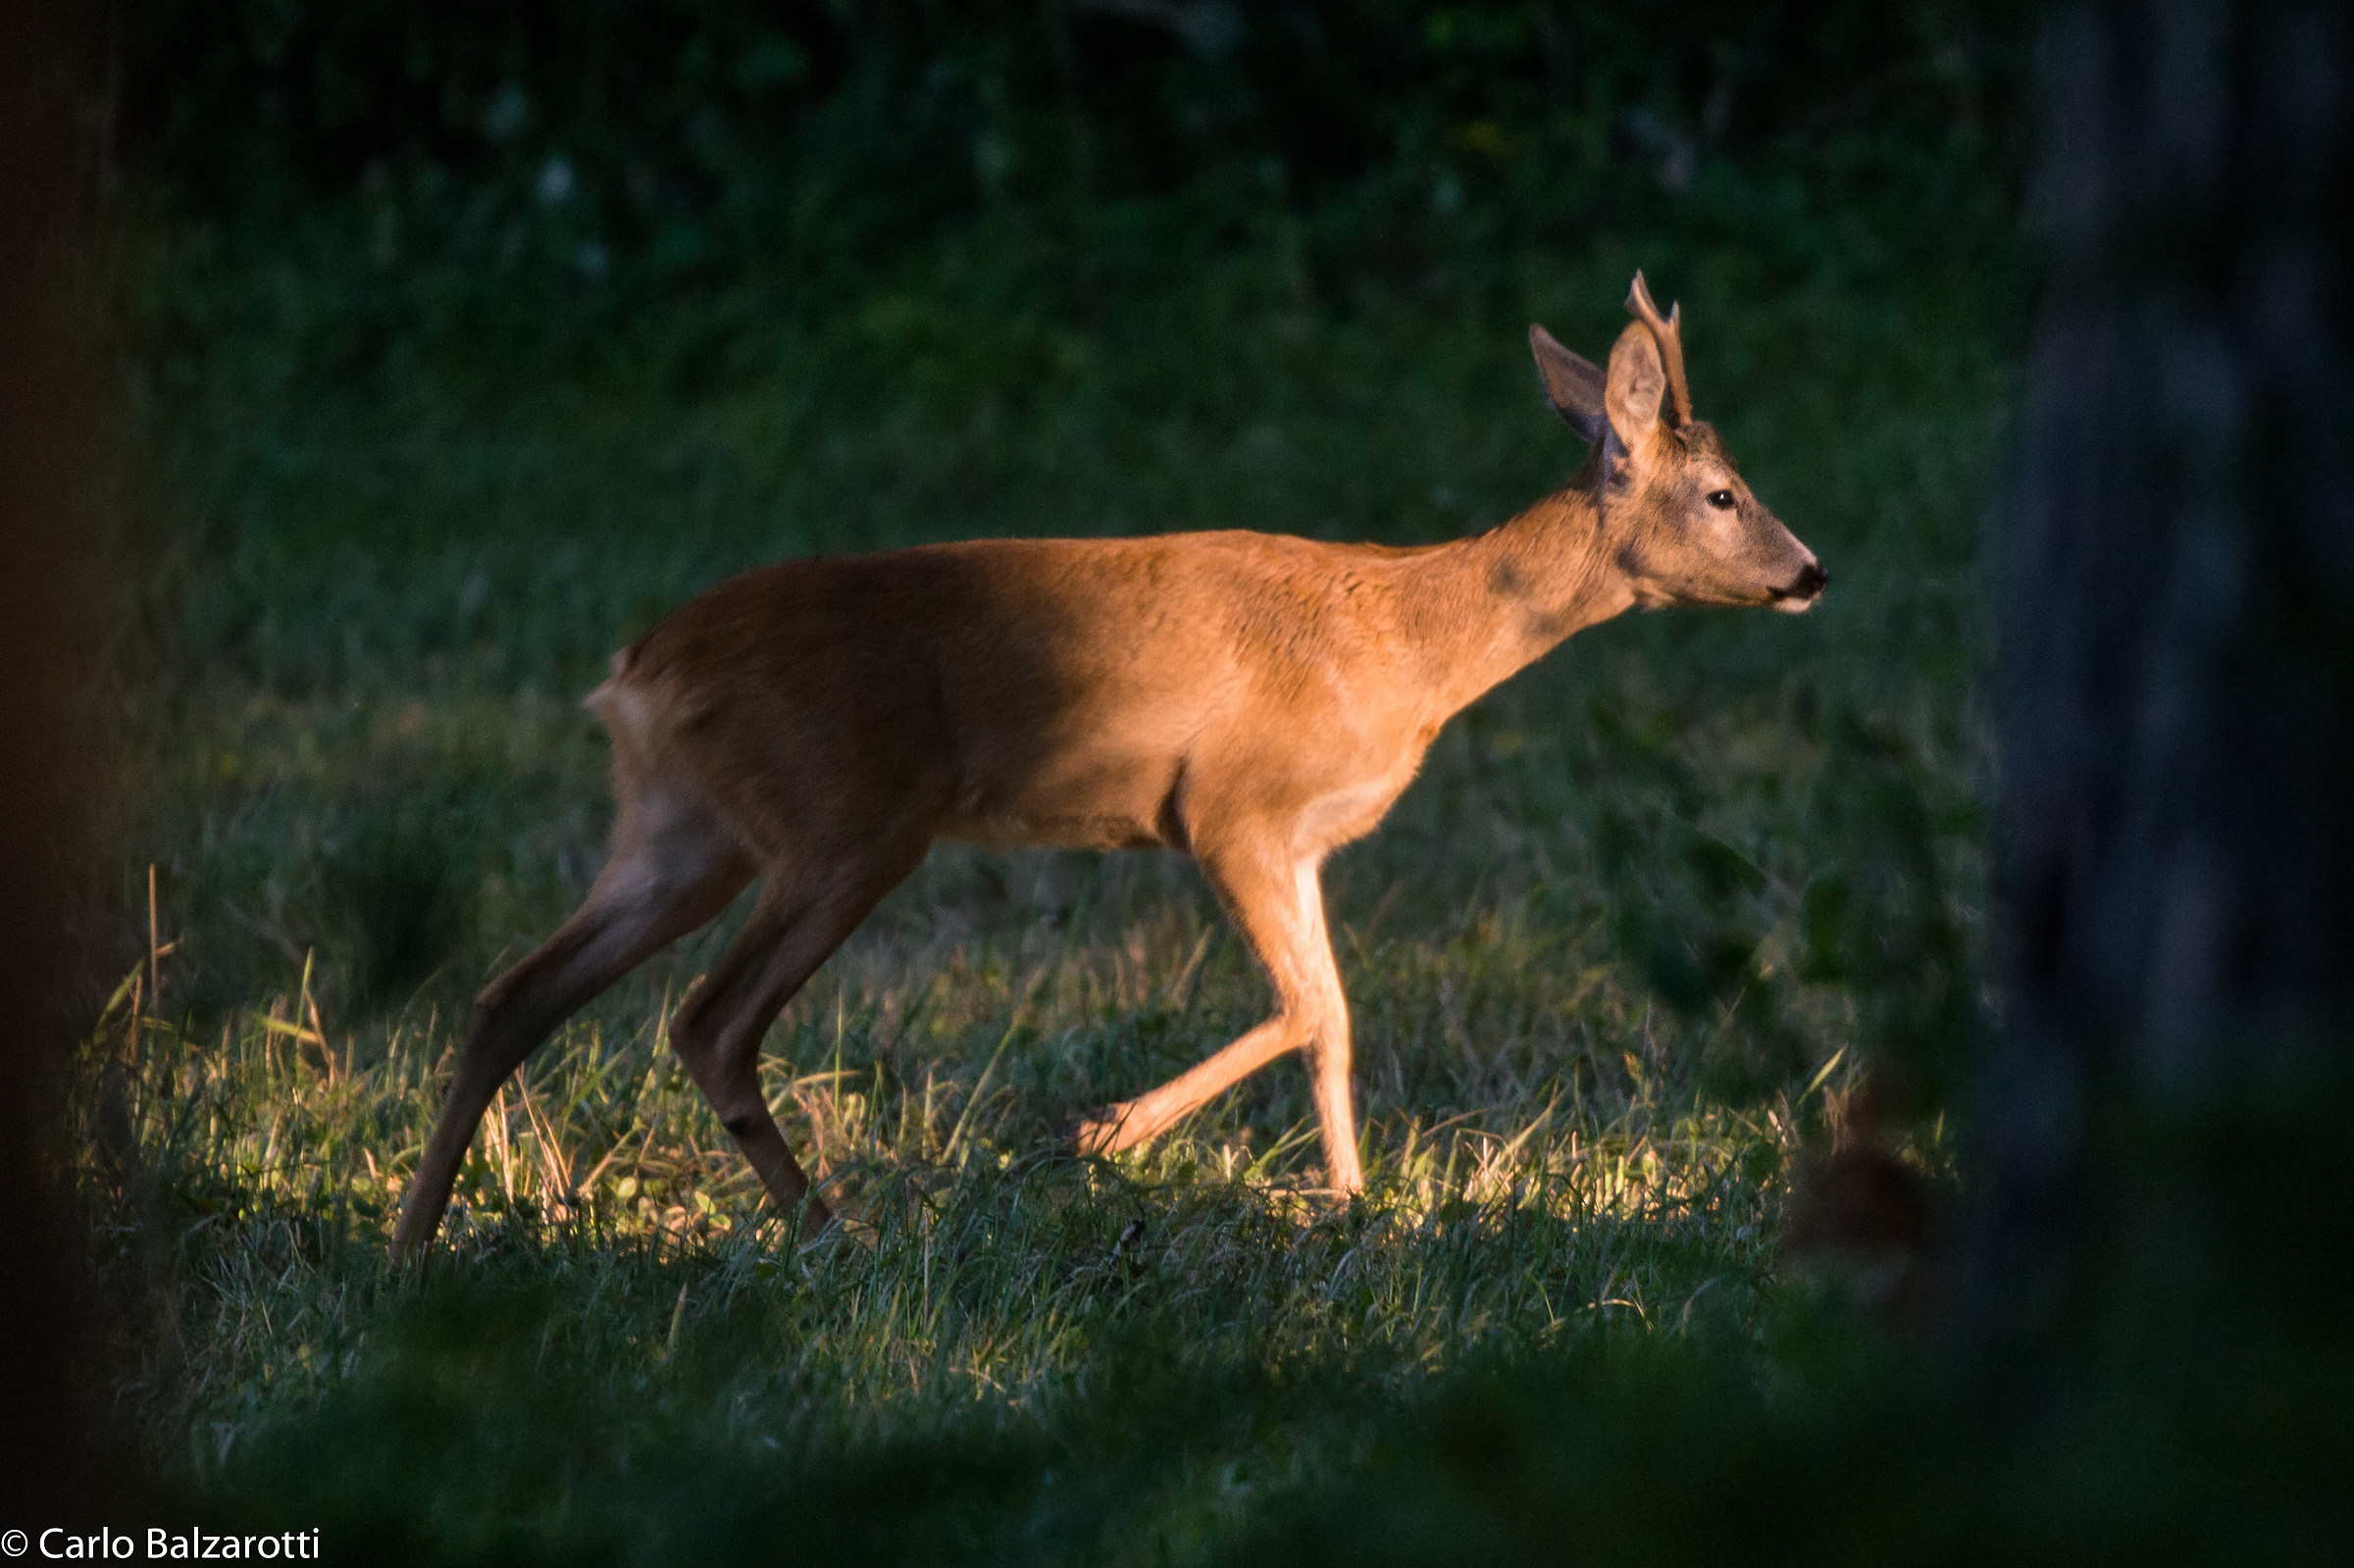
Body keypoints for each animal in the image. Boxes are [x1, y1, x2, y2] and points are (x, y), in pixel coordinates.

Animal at [390, 274, 1817, 1252]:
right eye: (1724, 494)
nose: (1810, 572)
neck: (1409, 643)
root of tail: (632, 671)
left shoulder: (1299, 839)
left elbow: (1338, 1021)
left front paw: (1353, 1204)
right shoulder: (1231, 806)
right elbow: (1309, 1008)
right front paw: (1103, 1133)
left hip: (686, 829)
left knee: (514, 992)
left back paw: (414, 1240)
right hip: (843, 819)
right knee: (707, 1019)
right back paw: (835, 1229)